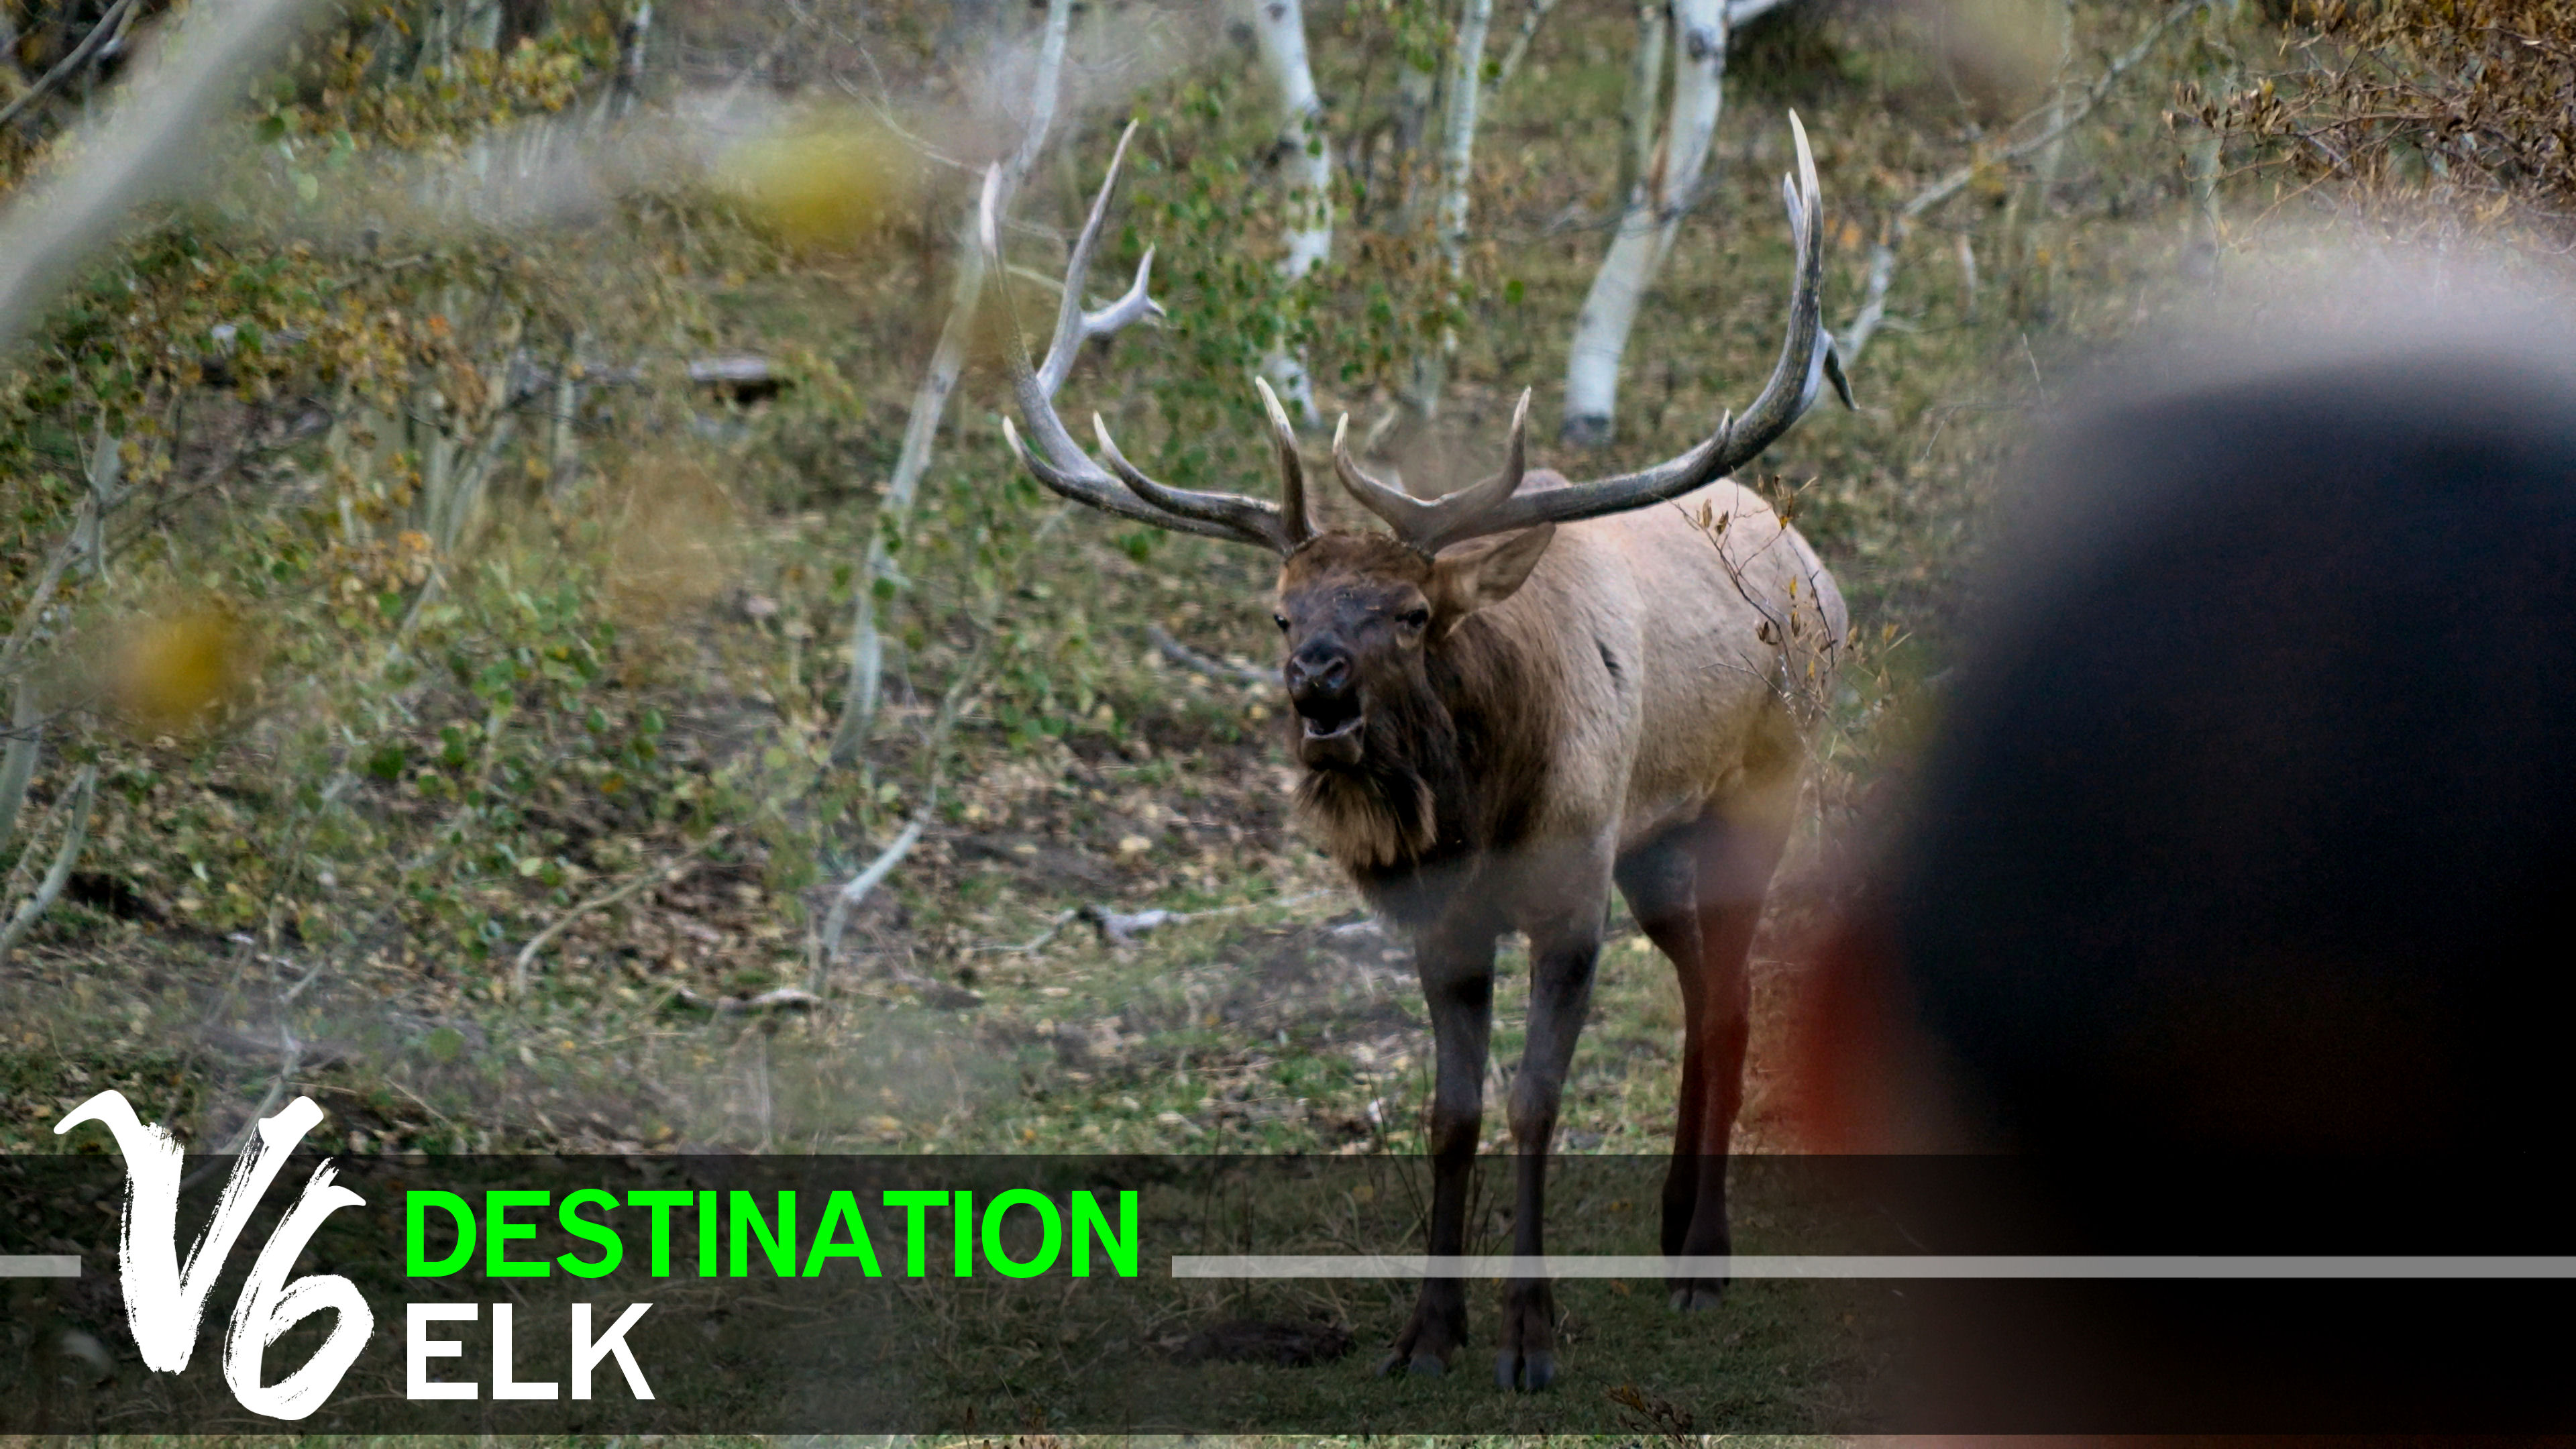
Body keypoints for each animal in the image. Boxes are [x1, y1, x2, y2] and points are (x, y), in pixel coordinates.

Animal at [981, 116, 1847, 1392]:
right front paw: (1429, 1331)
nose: (1318, 685)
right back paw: (1669, 1224)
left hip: (1759, 791)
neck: (1481, 808)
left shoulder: (1569, 892)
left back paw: (1704, 1259)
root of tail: (1816, 567)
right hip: (1654, 845)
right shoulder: (1447, 922)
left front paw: (1533, 1336)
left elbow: (1535, 1102)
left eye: (1410, 613)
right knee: (1701, 986)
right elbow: (1452, 1116)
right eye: (1281, 612)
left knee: (1735, 996)